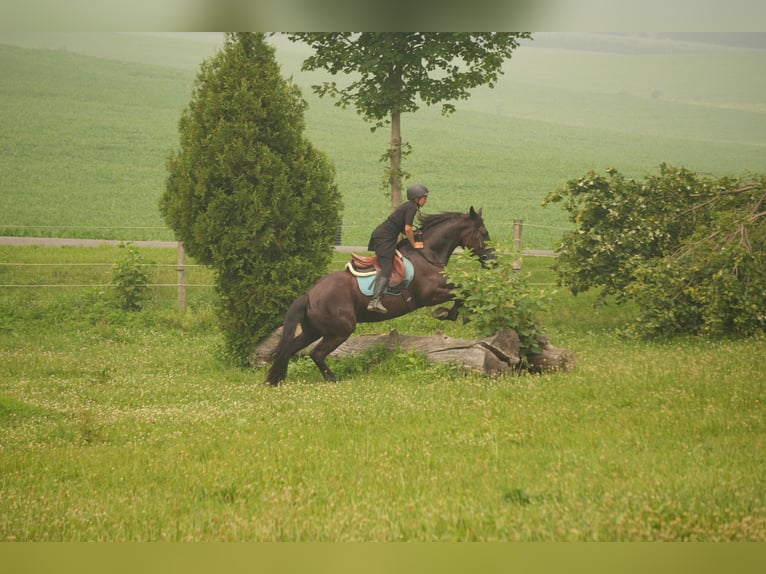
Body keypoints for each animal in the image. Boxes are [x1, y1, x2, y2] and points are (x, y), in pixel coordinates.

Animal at [265, 207, 495, 385]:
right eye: (484, 233)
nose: (493, 261)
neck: (427, 255)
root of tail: (309, 295)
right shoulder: (430, 294)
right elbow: (463, 291)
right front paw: (449, 314)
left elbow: (463, 291)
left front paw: (452, 313)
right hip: (341, 329)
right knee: (316, 353)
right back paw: (332, 378)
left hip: (313, 330)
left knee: (289, 349)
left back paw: (278, 379)